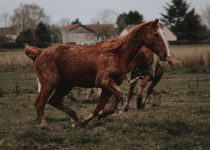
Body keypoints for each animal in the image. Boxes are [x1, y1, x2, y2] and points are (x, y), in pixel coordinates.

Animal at [24, 19, 171, 129]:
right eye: (156, 34)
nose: (166, 55)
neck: (117, 54)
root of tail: (40, 52)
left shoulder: (107, 86)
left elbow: (99, 106)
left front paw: (87, 119)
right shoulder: (103, 81)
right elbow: (118, 95)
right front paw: (101, 115)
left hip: (65, 85)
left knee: (53, 101)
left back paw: (75, 119)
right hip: (51, 83)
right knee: (39, 102)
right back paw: (44, 124)